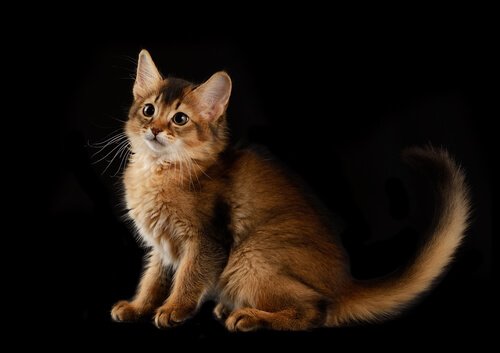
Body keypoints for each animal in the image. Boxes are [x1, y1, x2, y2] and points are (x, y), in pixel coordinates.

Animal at [109, 48, 468, 330]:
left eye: (180, 119)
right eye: (148, 110)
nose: (155, 130)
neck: (156, 171)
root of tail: (343, 285)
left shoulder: (206, 239)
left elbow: (188, 279)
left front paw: (173, 309)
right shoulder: (160, 245)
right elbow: (153, 279)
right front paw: (139, 307)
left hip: (251, 256)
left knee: (316, 310)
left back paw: (250, 317)